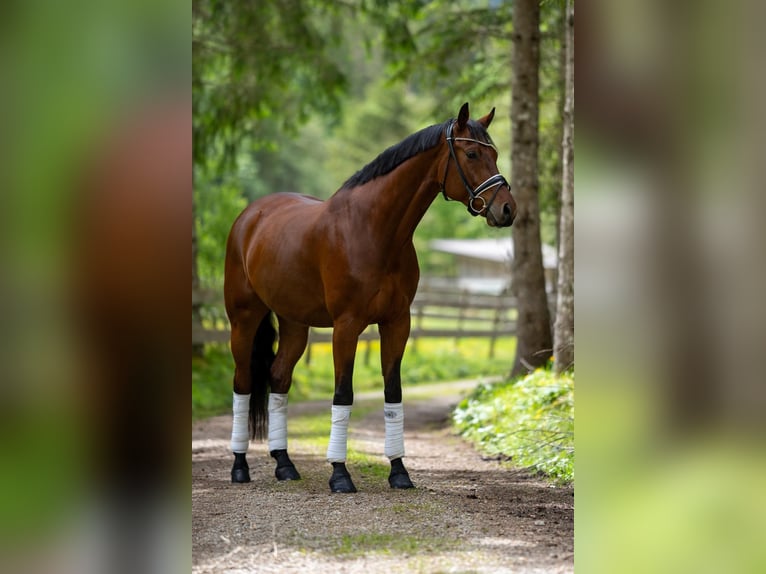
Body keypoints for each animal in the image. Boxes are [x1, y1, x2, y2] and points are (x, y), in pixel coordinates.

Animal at [225, 103, 520, 496]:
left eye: (495, 154)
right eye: (472, 154)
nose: (507, 209)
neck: (375, 230)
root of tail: (250, 216)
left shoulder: (397, 323)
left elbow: (393, 393)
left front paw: (399, 471)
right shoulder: (346, 327)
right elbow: (343, 394)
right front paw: (339, 474)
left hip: (294, 324)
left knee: (278, 377)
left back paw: (285, 464)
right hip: (244, 318)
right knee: (242, 382)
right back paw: (240, 467)